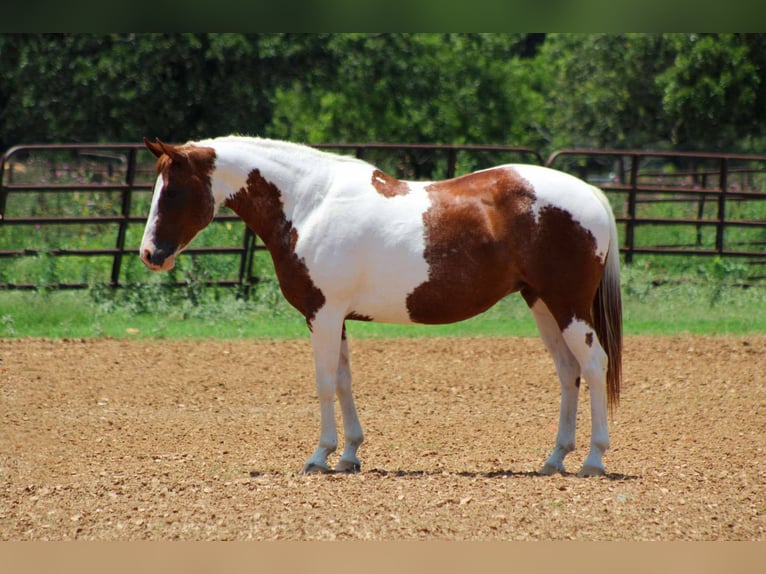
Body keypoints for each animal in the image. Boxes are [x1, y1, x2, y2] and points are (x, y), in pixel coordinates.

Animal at [139, 136, 623, 477]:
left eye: (172, 192)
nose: (149, 254)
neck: (309, 204)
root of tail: (592, 194)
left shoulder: (322, 314)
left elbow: (324, 382)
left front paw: (319, 456)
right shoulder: (336, 317)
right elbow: (344, 381)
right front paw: (349, 454)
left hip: (568, 305)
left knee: (594, 364)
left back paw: (593, 460)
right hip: (542, 303)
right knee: (568, 371)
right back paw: (554, 459)